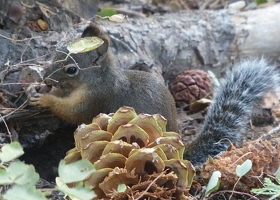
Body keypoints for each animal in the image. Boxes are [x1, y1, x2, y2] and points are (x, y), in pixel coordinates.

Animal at [27, 23, 178, 131]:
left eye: (71, 70)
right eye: (56, 55)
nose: (46, 79)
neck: (100, 78)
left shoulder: (97, 97)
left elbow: (72, 112)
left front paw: (45, 99)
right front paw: (34, 87)